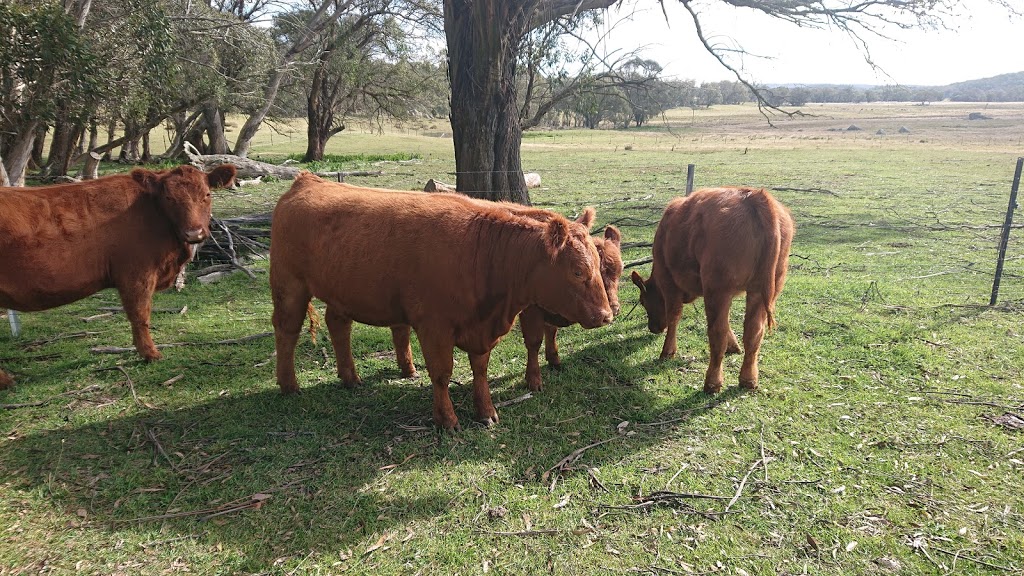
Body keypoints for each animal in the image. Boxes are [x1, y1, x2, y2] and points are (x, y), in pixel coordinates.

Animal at [1, 163, 235, 387]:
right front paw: (150, 354)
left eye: (207, 194)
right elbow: (140, 315)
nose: (194, 233)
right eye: (169, 198)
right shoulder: (136, 274)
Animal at [268, 172, 610, 428]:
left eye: (598, 264)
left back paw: (351, 378)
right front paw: (447, 420)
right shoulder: (434, 327)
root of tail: (307, 180)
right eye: (578, 271)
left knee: (338, 326)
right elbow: (443, 373)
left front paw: (486, 412)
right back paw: (289, 386)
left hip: (340, 291)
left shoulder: (483, 329)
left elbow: (481, 369)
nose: (606, 315)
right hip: (288, 285)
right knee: (287, 330)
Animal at [626, 186, 794, 391]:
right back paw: (748, 379)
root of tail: (755, 195)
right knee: (754, 333)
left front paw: (667, 352)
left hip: (717, 289)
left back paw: (712, 383)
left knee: (717, 333)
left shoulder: (669, 283)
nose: (653, 328)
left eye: (643, 302)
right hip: (762, 289)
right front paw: (734, 346)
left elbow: (674, 316)